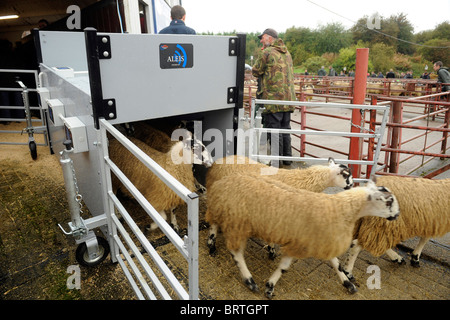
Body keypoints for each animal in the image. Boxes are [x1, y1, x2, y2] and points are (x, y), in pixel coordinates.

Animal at [206, 156, 354, 258]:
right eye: (346, 176)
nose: (352, 185)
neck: (305, 181)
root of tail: (217, 163)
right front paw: (272, 252)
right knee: (213, 222)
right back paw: (211, 246)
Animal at [206, 175, 400, 298]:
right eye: (389, 201)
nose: (397, 215)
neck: (340, 208)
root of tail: (222, 182)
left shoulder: (321, 241)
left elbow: (336, 264)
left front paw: (348, 284)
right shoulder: (302, 243)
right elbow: (284, 267)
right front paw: (270, 287)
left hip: (227, 213)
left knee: (215, 224)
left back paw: (211, 245)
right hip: (238, 222)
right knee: (236, 252)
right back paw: (249, 280)